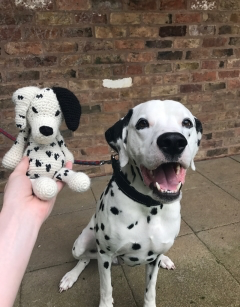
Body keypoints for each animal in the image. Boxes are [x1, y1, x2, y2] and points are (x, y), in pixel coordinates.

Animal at [59, 100, 202, 306]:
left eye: (187, 123)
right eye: (142, 123)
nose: (174, 141)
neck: (149, 207)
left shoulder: (152, 261)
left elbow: (150, 290)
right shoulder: (105, 255)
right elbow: (106, 289)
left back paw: (165, 259)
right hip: (80, 246)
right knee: (85, 258)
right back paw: (70, 276)